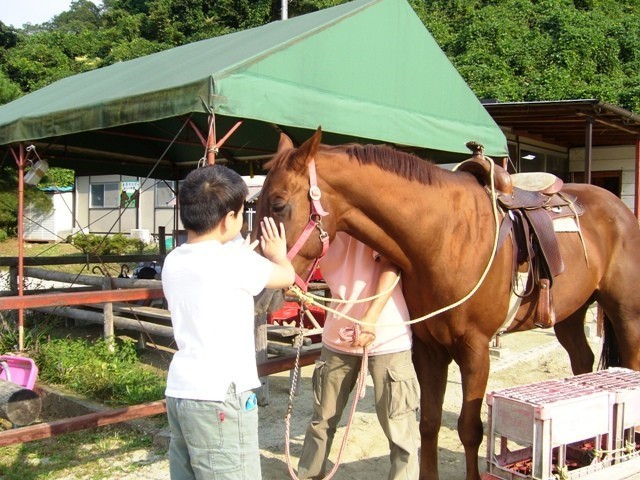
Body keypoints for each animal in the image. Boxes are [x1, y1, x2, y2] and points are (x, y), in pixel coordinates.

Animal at [254, 127, 640, 480]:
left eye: (279, 205)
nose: (261, 290)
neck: (443, 237)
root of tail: (619, 207)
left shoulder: (475, 349)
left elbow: (470, 429)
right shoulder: (428, 348)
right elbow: (428, 422)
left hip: (625, 312)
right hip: (570, 314)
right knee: (583, 361)